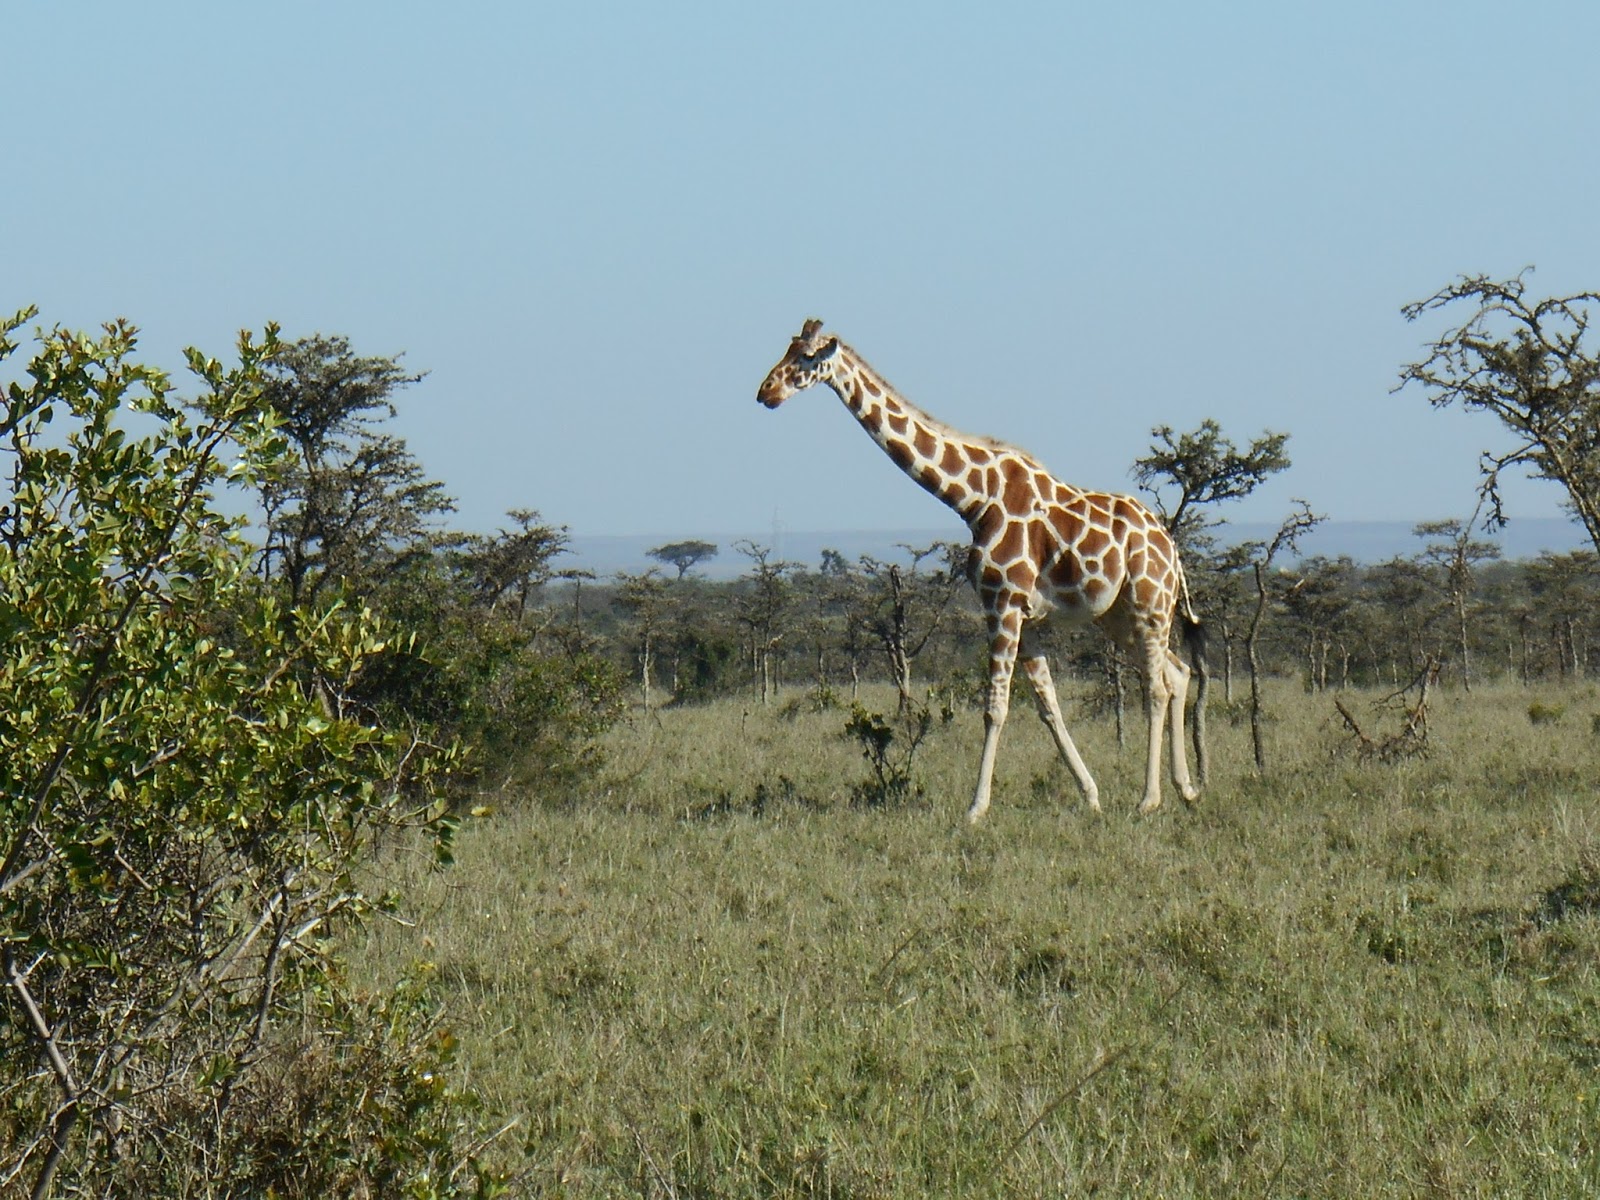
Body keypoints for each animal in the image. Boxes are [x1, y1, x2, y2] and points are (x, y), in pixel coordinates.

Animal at [757, 318, 1205, 822]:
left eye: (806, 358)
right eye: (787, 349)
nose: (766, 392)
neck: (972, 499)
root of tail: (1170, 545)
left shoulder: (1002, 604)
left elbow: (995, 707)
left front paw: (975, 809)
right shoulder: (1023, 614)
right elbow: (1048, 707)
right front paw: (1090, 794)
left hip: (1150, 603)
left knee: (1156, 686)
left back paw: (1150, 798)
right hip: (1118, 615)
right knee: (1176, 673)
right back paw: (1186, 789)